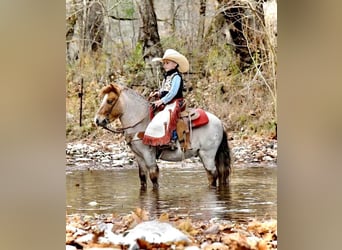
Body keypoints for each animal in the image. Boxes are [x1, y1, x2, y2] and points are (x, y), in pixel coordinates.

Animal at [95, 83, 231, 188]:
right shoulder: (138, 156)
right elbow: (142, 177)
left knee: (212, 175)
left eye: (110, 101)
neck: (140, 121)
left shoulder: (148, 154)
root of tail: (219, 122)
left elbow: (154, 177)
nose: (97, 120)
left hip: (207, 154)